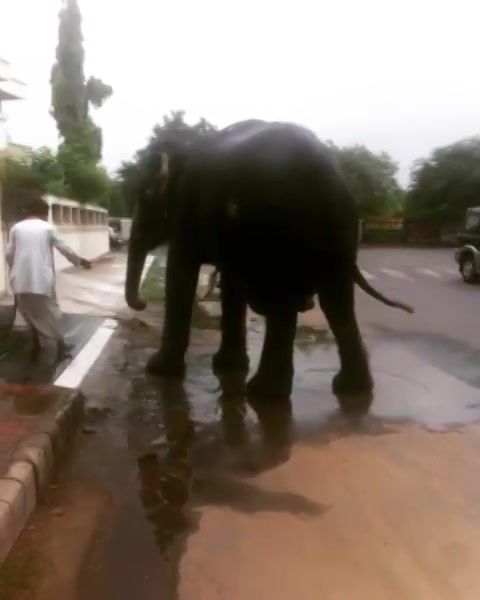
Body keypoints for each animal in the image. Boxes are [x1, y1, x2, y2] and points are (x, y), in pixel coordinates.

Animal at [125, 120, 414, 414]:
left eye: (145, 194)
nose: (142, 303)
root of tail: (323, 178)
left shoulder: (187, 210)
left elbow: (181, 271)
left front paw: (157, 370)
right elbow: (230, 284)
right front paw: (227, 366)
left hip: (279, 232)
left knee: (284, 303)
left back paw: (262, 394)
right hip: (339, 233)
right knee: (336, 302)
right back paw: (348, 389)